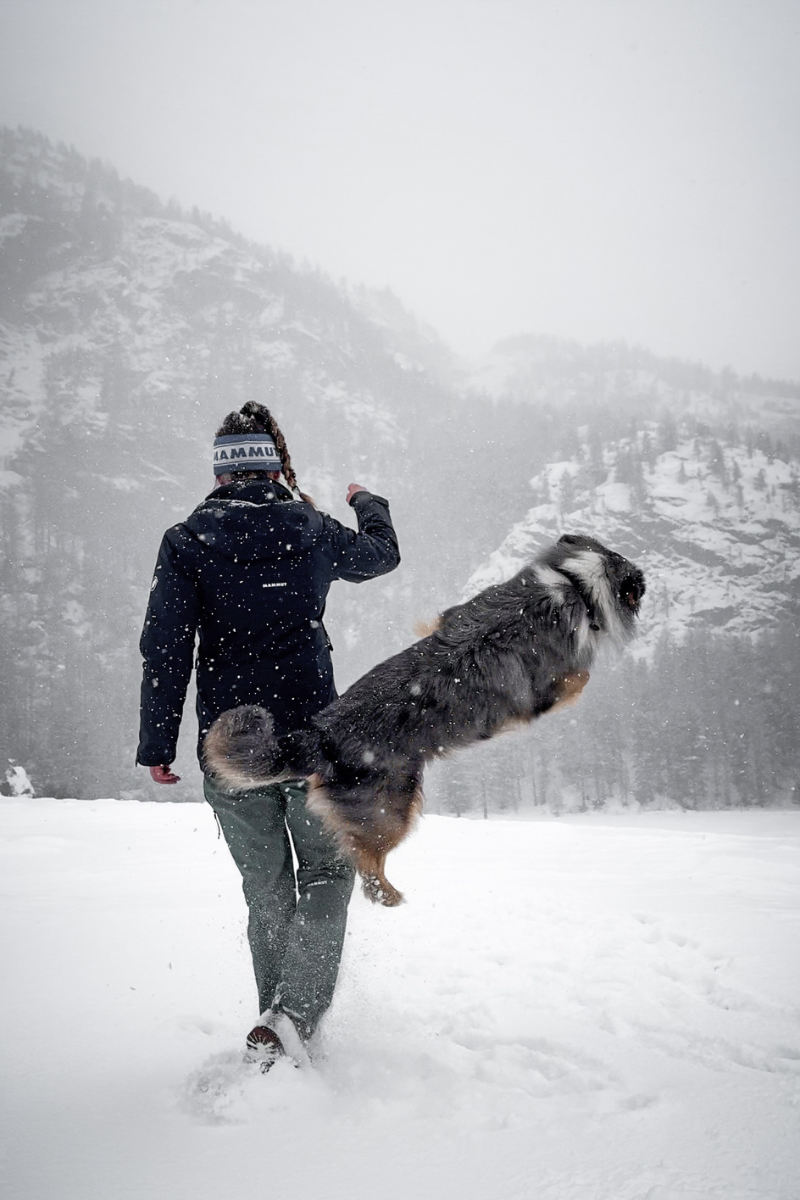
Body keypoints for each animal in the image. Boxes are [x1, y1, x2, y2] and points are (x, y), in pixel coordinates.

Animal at [203, 535, 647, 902]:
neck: (576, 586)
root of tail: (319, 734)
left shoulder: (453, 613)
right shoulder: (550, 688)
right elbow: (581, 677)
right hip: (393, 808)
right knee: (366, 863)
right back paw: (389, 895)